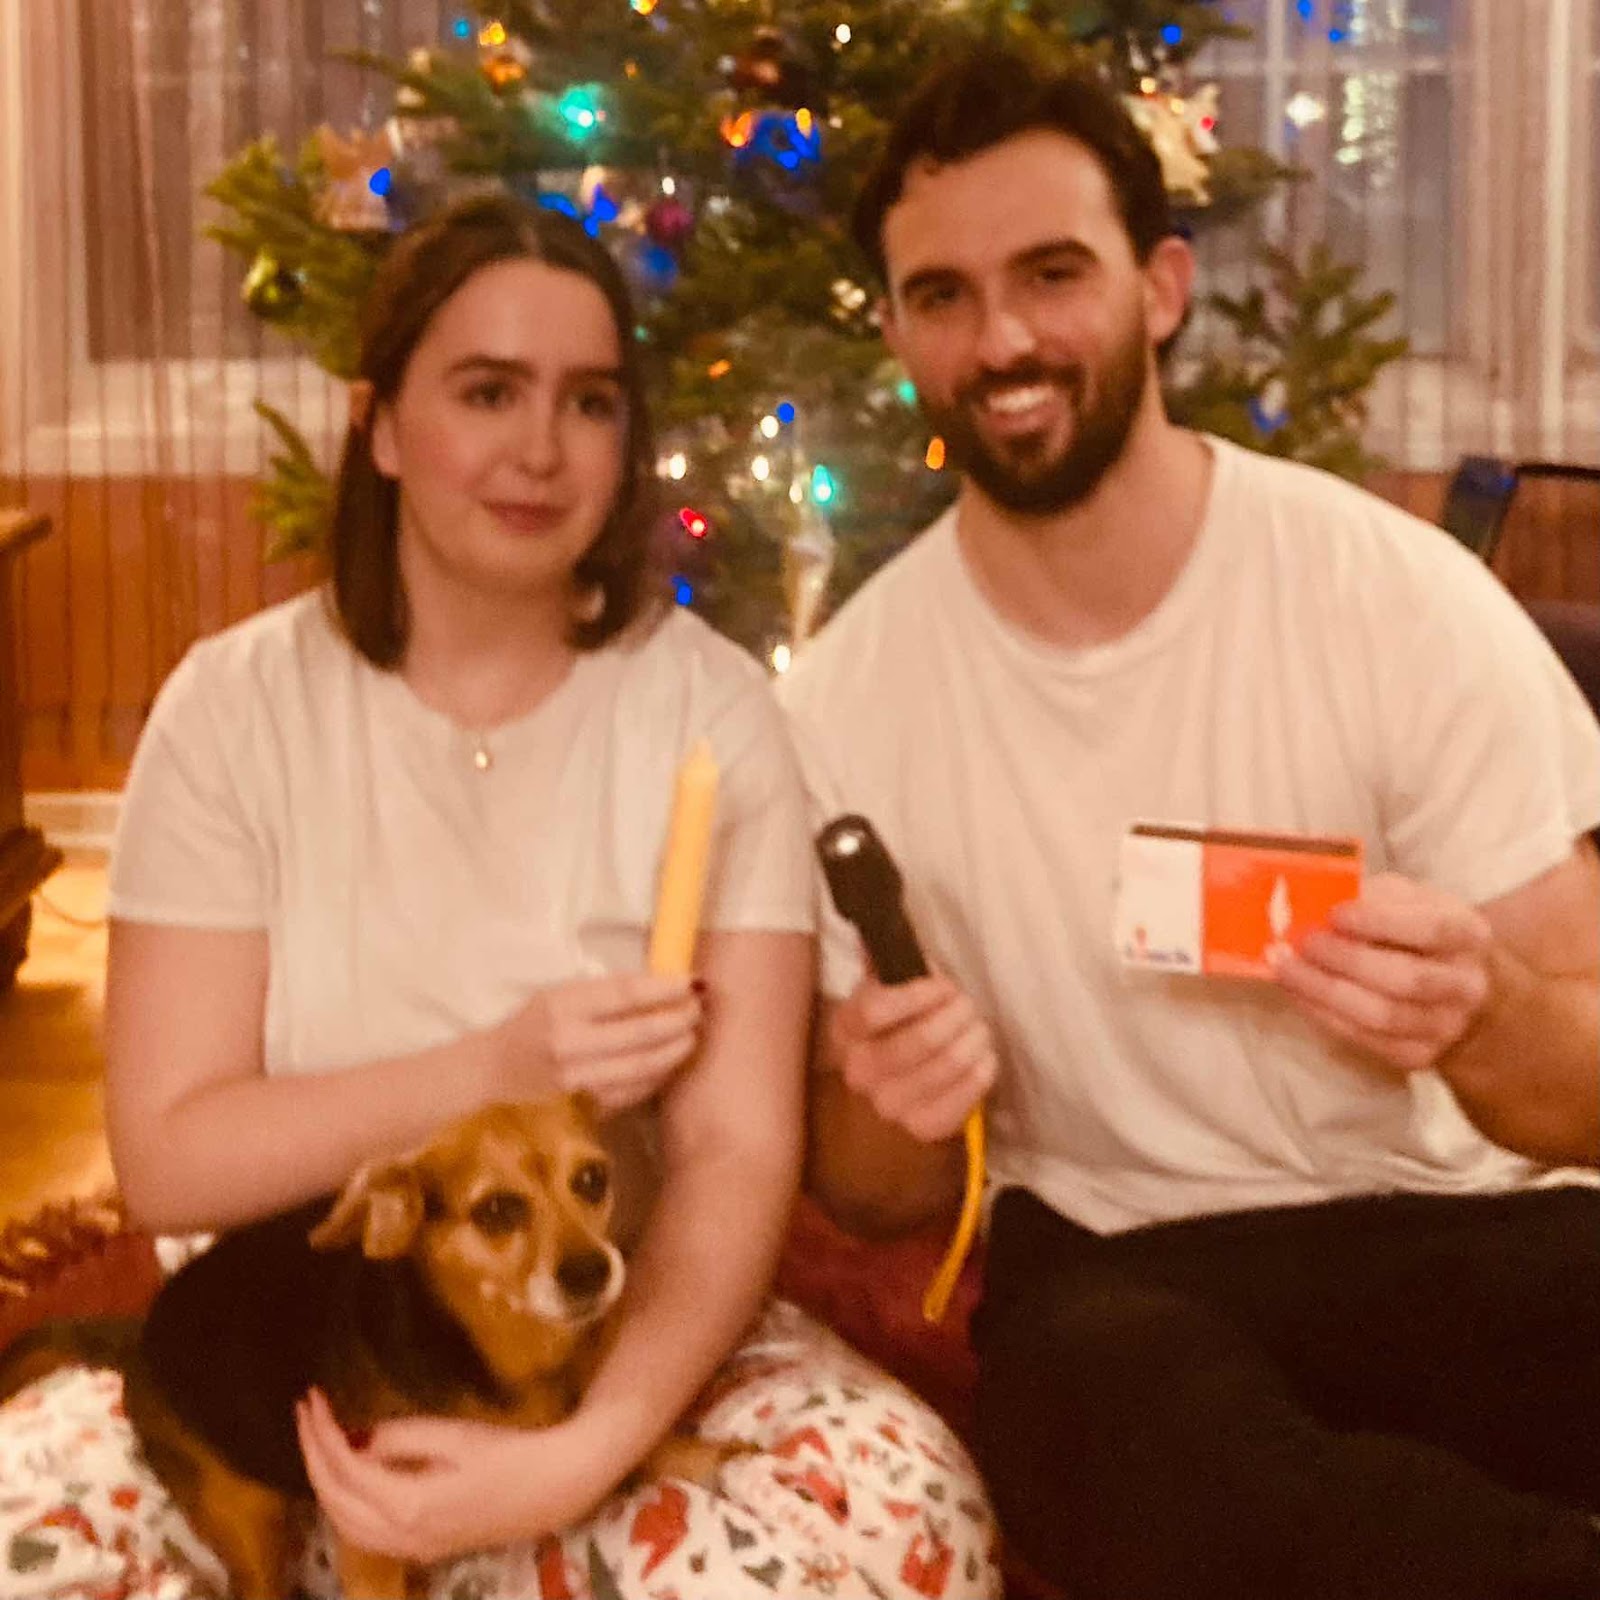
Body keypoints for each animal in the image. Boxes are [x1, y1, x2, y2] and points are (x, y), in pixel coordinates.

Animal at [0, 1095, 742, 1599]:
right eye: (497, 1211)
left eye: (591, 1180)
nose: (592, 1271)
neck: (508, 1353)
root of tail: (144, 1331)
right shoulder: (369, 1535)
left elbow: (634, 1436)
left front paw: (702, 1454)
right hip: (246, 1514)